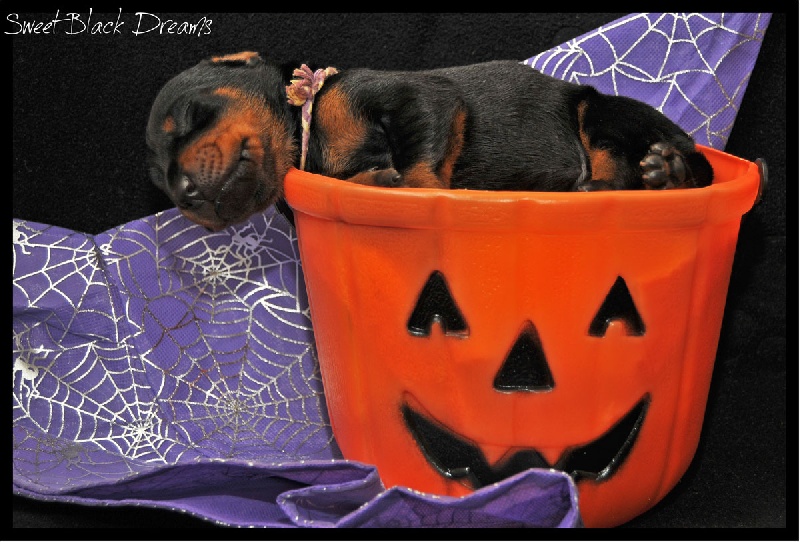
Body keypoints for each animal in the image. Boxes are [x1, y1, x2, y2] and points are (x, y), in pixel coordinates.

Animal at [146, 51, 713, 231]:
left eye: (191, 117)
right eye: (163, 187)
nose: (186, 196)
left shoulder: (419, 100)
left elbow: (420, 168)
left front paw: (417, 192)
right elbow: (369, 176)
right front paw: (378, 180)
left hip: (601, 113)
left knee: (613, 164)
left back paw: (653, 177)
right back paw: (668, 175)